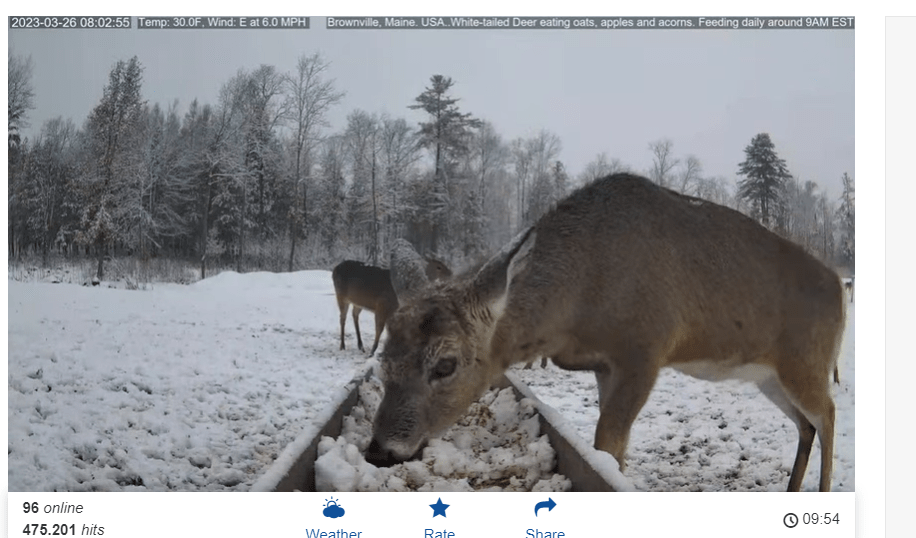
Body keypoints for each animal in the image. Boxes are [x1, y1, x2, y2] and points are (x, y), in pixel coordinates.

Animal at [366, 173, 846, 492]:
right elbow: (611, 451)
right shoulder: (601, 364)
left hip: (807, 359)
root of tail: (840, 287)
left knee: (828, 412)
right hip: (768, 375)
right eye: (382, 358)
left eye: (446, 365)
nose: (379, 450)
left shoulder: (646, 349)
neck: (578, 302)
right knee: (806, 424)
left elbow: (607, 445)